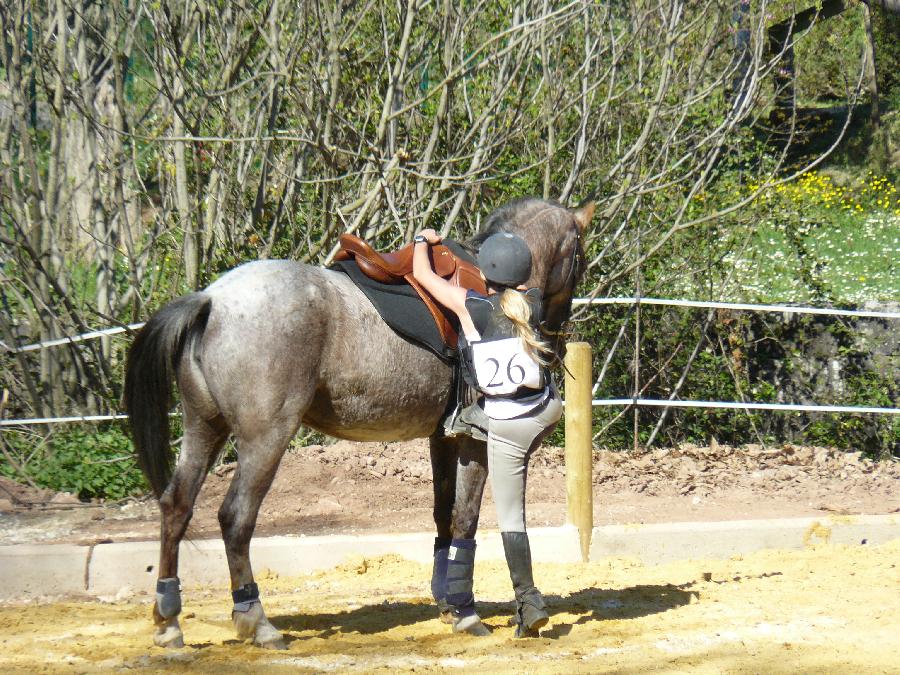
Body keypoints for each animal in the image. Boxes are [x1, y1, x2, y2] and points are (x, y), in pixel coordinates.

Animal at [123, 197, 596, 648]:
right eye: (580, 259)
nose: (553, 335)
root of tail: (212, 299)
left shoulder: (441, 438)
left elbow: (443, 515)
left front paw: (447, 601)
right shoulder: (475, 440)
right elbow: (465, 518)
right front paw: (466, 613)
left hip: (204, 427)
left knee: (177, 505)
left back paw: (168, 622)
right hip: (265, 438)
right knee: (236, 518)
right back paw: (257, 622)